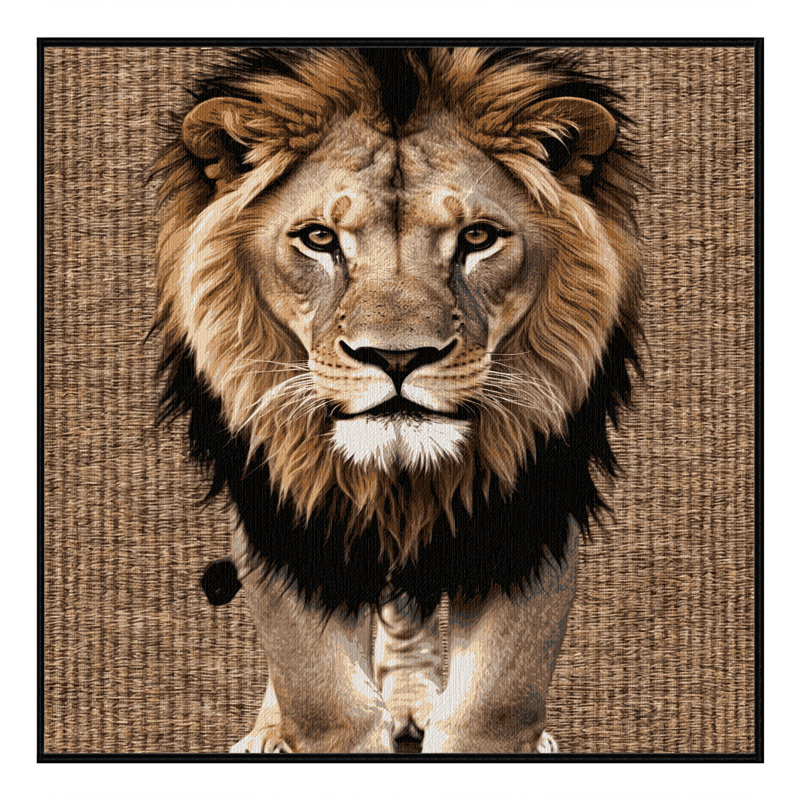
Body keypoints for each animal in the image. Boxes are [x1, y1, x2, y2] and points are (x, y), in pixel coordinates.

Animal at [152, 47, 642, 754]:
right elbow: (319, 690)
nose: (398, 359)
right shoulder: (282, 502)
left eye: (478, 238)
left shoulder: (531, 504)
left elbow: (494, 701)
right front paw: (302, 724)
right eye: (319, 239)